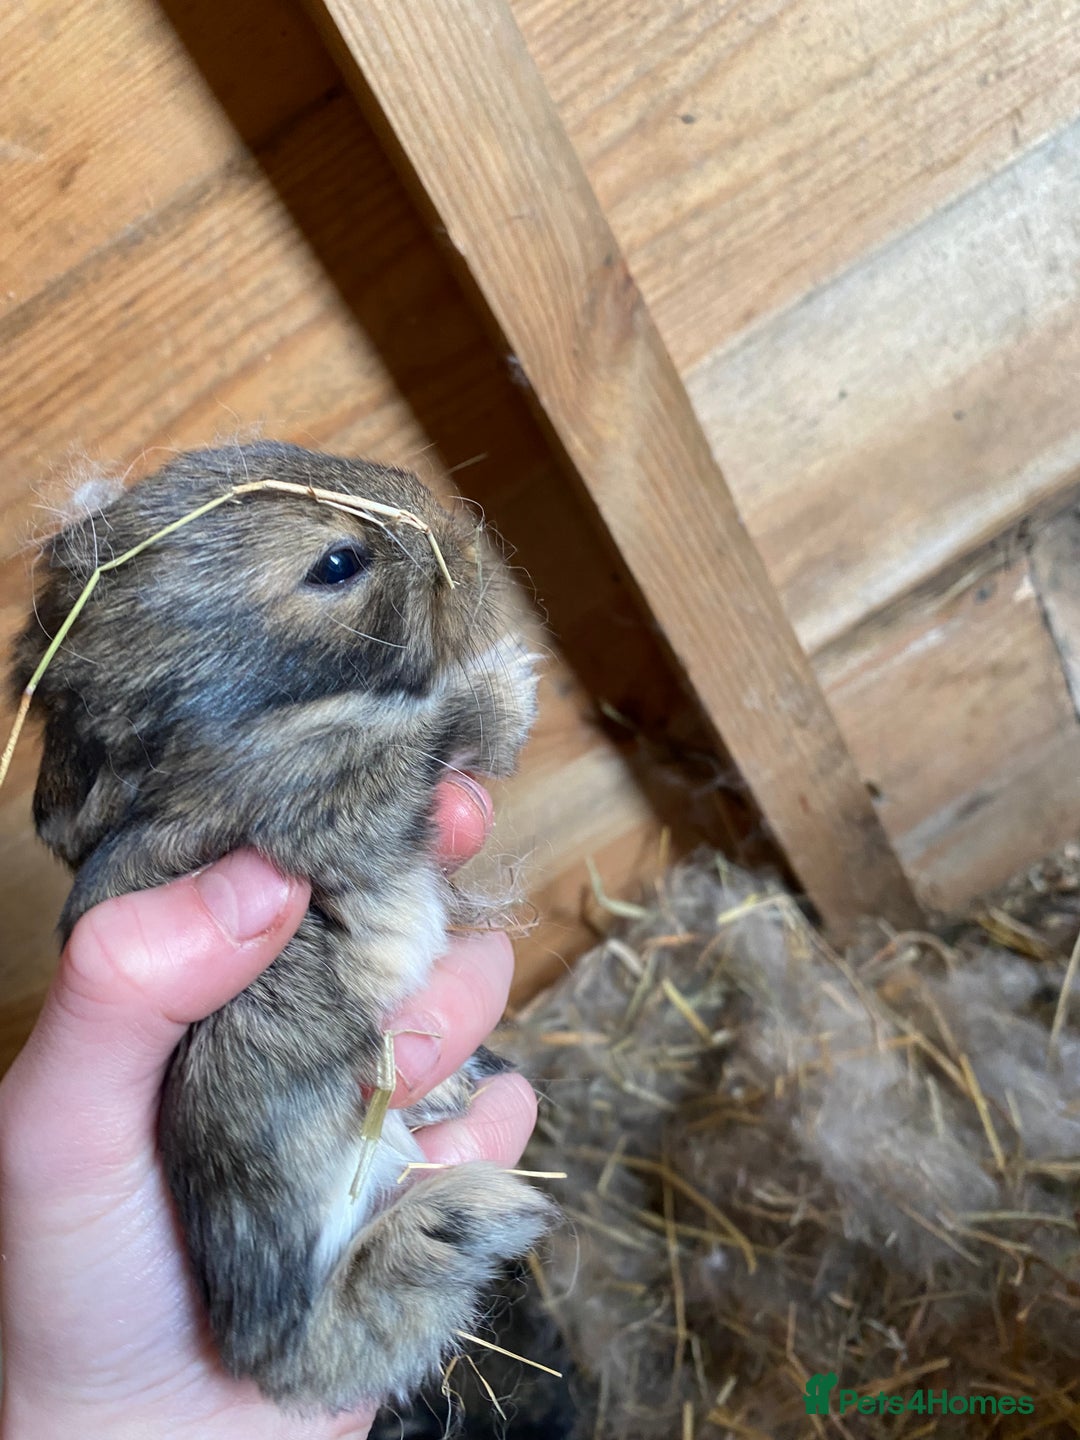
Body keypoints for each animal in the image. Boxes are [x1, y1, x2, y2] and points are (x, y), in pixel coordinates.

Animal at [11, 441, 556, 1413]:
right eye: (337, 563)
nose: (464, 541)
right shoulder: (319, 804)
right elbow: (415, 742)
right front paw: (505, 685)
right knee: (299, 1344)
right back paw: (468, 1220)